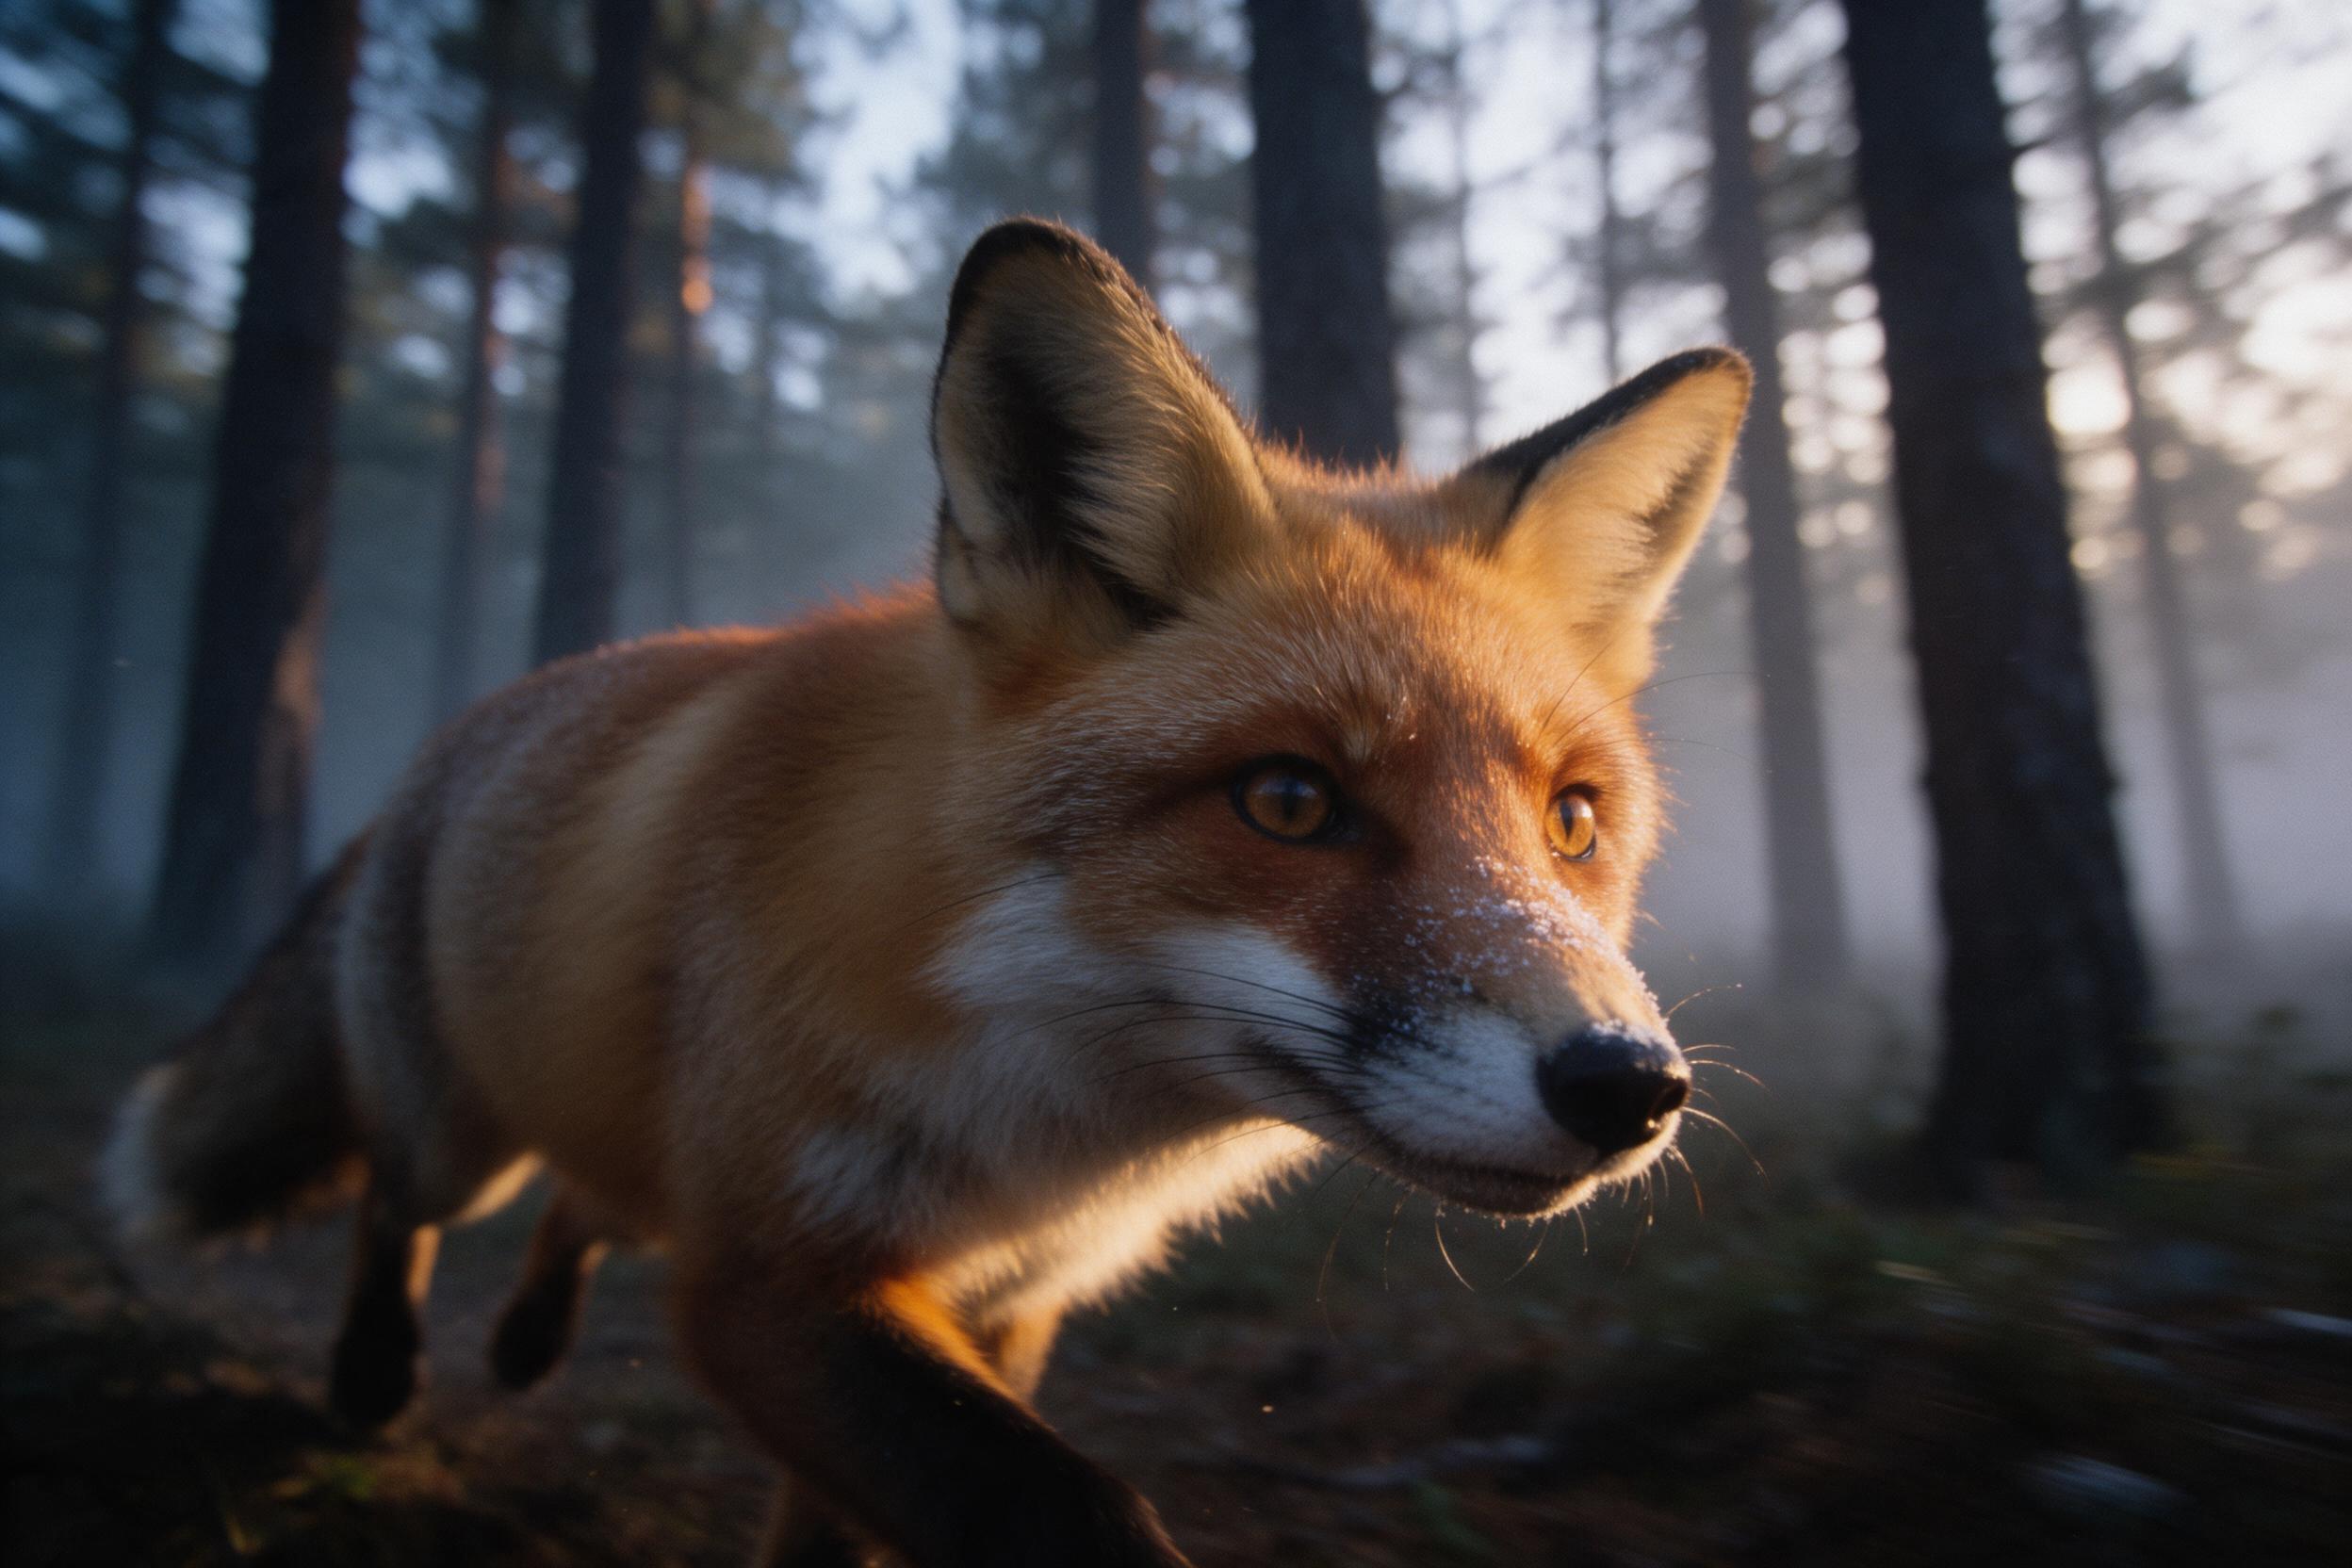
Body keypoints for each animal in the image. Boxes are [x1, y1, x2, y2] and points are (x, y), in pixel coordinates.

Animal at [101, 218, 1750, 1567]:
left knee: (585, 1203)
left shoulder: (1004, 1304)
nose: (1629, 1087)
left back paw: (524, 1339)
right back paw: (377, 1374)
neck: (1038, 1104)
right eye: (1290, 801)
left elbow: (862, 1522)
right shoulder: (770, 1278)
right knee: (398, 1194)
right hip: (466, 1139)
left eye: (1572, 822)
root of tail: (457, 736)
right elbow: (1055, 1506)